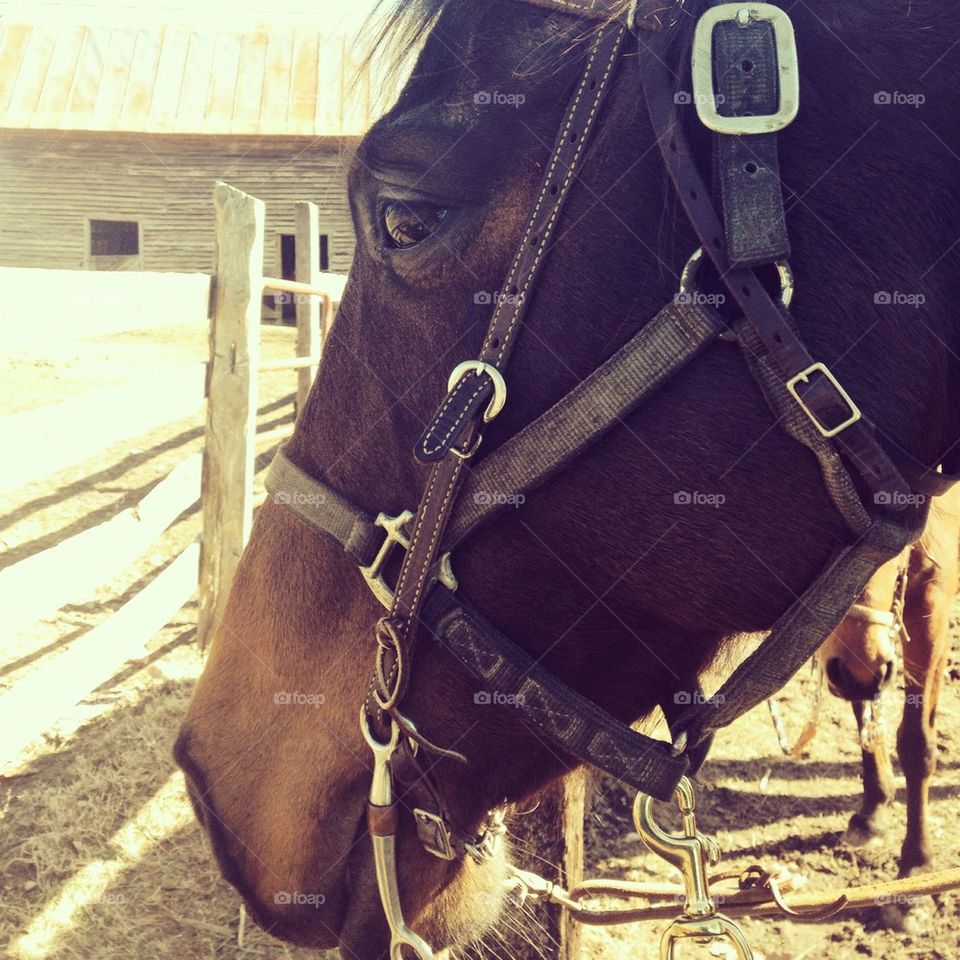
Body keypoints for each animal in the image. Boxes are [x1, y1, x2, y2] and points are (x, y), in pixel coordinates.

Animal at [820, 487, 959, 923]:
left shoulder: (932, 608)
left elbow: (916, 745)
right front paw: (874, 812)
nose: (861, 665)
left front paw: (914, 876)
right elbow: (863, 712)